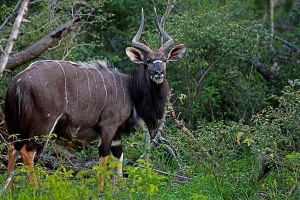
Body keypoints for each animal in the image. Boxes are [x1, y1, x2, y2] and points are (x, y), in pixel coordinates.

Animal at [4, 7, 186, 190]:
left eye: (164, 60)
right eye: (148, 61)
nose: (159, 73)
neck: (130, 89)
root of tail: (17, 82)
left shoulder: (117, 132)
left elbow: (118, 154)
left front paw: (120, 187)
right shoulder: (107, 126)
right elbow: (104, 155)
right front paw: (101, 190)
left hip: (17, 125)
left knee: (12, 148)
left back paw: (8, 189)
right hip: (43, 124)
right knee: (27, 151)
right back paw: (36, 188)